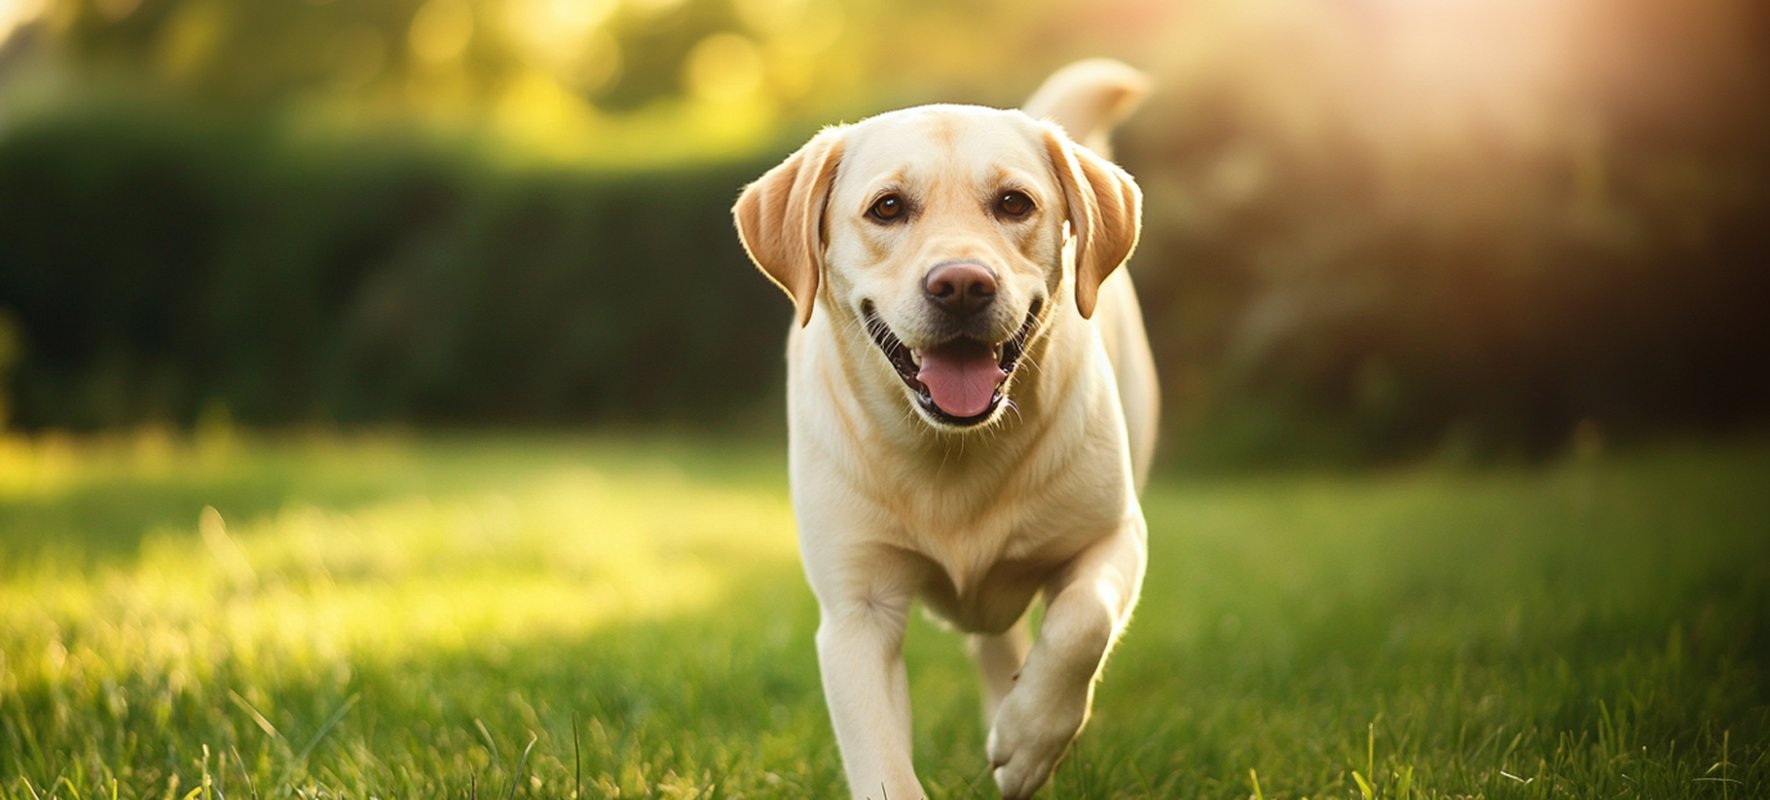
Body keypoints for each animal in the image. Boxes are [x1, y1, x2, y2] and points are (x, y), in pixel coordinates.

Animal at [729, 57, 1154, 800]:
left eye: (1014, 203)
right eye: (887, 207)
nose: (961, 284)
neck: (952, 451)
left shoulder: (1115, 535)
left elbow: (1083, 620)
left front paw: (1031, 738)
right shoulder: (858, 610)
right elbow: (884, 767)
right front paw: (1018, 734)